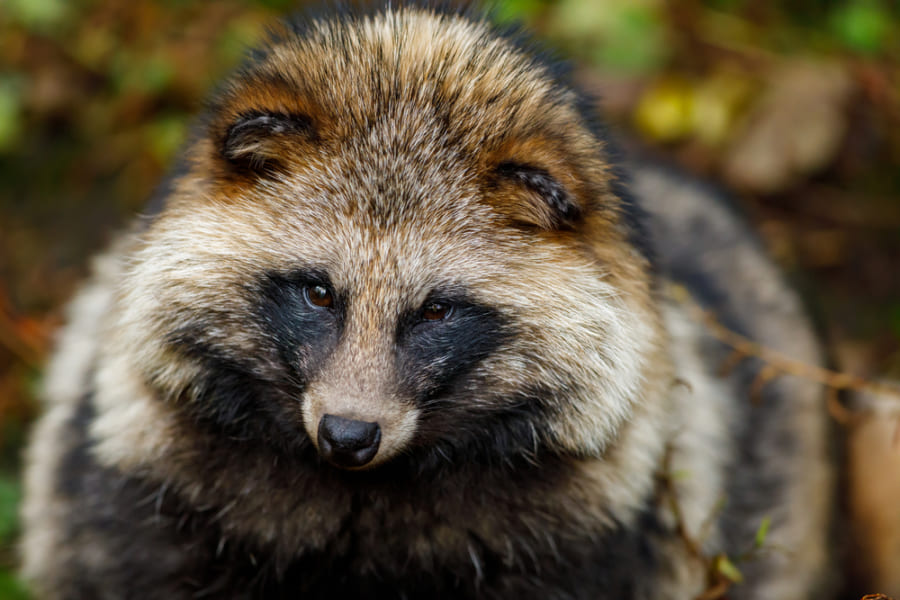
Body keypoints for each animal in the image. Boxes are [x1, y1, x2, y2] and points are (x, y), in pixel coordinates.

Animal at [21, 2, 836, 596]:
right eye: (319, 293)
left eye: (437, 311)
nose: (348, 436)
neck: (363, 497)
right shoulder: (138, 505)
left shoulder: (594, 543)